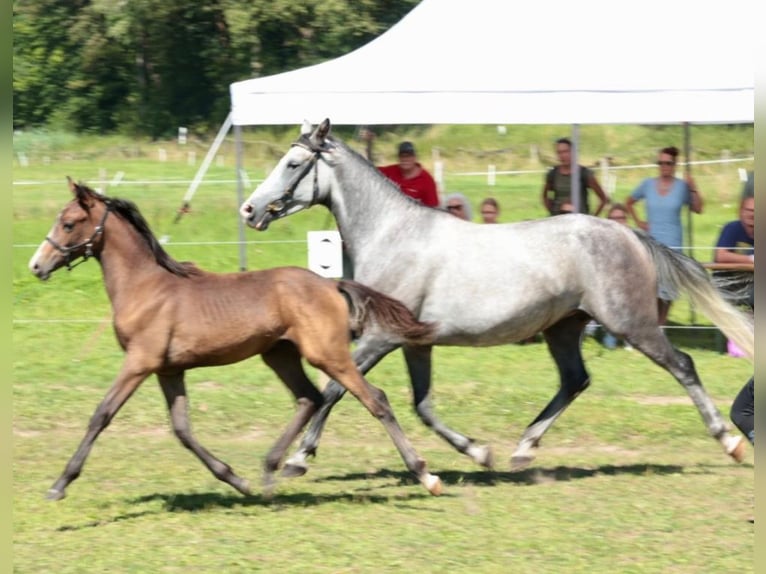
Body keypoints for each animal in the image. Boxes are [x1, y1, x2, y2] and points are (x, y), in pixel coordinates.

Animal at [242, 119, 756, 480]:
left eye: (293, 165)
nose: (248, 210)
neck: (393, 236)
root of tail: (626, 231)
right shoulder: (414, 342)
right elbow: (422, 405)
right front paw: (478, 450)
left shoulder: (380, 337)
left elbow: (335, 389)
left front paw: (298, 459)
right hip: (564, 327)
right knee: (575, 380)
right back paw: (522, 449)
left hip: (632, 323)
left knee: (682, 365)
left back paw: (731, 443)